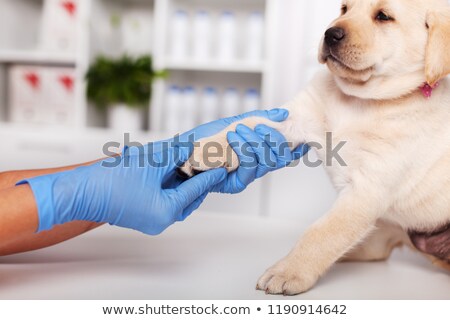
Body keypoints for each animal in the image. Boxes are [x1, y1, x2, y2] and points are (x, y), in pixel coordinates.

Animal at [179, 0, 450, 296]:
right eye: (344, 9)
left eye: (383, 16)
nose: (330, 34)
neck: (359, 101)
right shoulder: (296, 116)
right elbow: (244, 124)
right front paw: (209, 150)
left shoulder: (366, 190)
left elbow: (322, 233)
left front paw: (288, 272)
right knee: (372, 248)